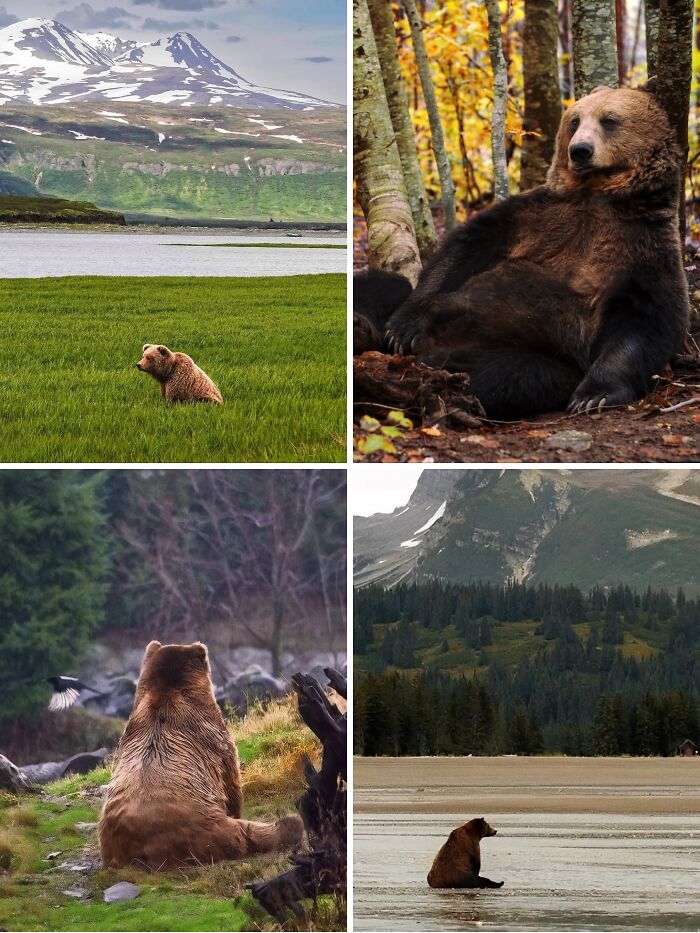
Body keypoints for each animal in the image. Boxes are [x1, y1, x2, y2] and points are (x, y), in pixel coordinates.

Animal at [98, 641, 303, 869]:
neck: (168, 692)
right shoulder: (213, 736)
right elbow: (231, 779)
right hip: (208, 827)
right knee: (247, 831)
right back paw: (290, 825)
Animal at [359, 83, 689, 420]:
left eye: (609, 120)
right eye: (574, 121)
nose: (580, 150)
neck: (596, 195)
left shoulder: (641, 245)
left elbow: (646, 320)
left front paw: (594, 395)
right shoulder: (536, 218)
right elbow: (461, 253)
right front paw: (402, 329)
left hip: (521, 352)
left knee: (510, 375)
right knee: (387, 285)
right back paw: (367, 329)